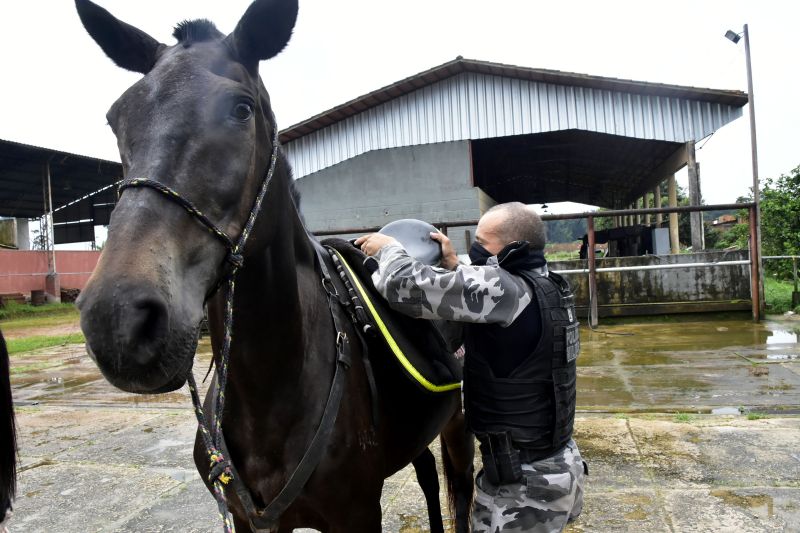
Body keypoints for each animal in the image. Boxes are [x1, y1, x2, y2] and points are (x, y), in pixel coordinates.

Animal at [73, 1, 476, 532]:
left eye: (241, 109)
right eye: (117, 117)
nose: (118, 320)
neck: (269, 390)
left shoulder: (357, 515)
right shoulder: (248, 520)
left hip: (458, 422)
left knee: (460, 492)